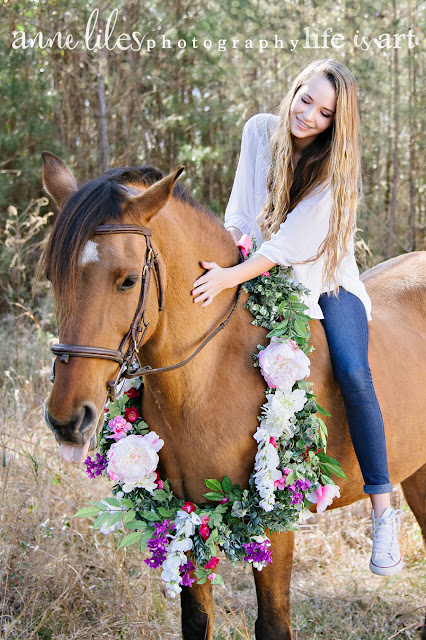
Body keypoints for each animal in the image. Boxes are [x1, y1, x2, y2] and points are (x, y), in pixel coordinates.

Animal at [40, 154, 426, 640]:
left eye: (127, 281)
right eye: (53, 276)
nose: (67, 420)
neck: (210, 377)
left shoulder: (275, 521)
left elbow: (274, 622)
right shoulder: (184, 515)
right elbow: (196, 619)